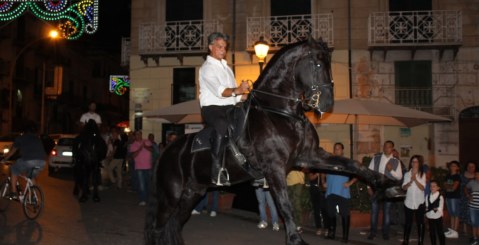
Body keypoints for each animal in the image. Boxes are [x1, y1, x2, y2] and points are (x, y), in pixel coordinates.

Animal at [146, 37, 398, 244]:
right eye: (317, 64)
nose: (327, 103)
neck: (282, 112)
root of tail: (167, 150)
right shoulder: (274, 168)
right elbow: (285, 206)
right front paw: (295, 239)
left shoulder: (309, 157)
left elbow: (351, 164)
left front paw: (387, 184)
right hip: (171, 194)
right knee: (158, 228)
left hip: (192, 193)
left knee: (174, 225)